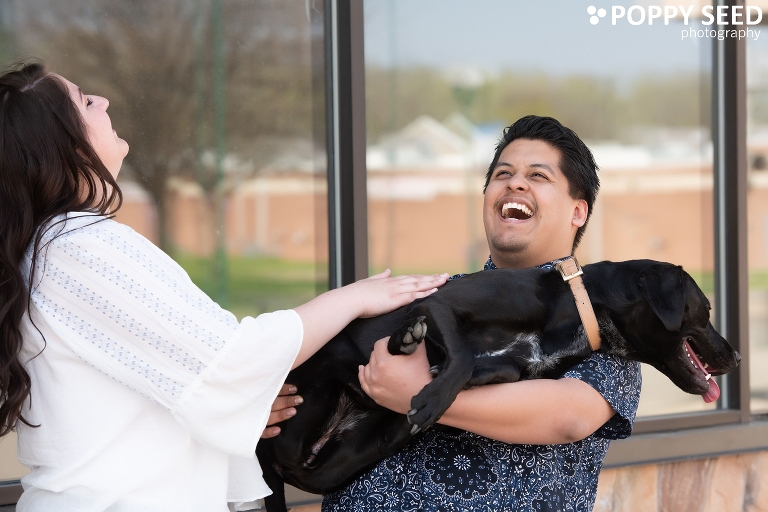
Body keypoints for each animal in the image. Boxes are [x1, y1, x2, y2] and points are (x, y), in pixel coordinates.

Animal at [256, 259, 740, 511]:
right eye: (705, 311)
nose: (735, 357)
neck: (578, 307)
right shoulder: (439, 304)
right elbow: (460, 353)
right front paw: (430, 385)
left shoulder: (516, 367)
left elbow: (484, 368)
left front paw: (434, 386)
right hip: (313, 395)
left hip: (354, 454)